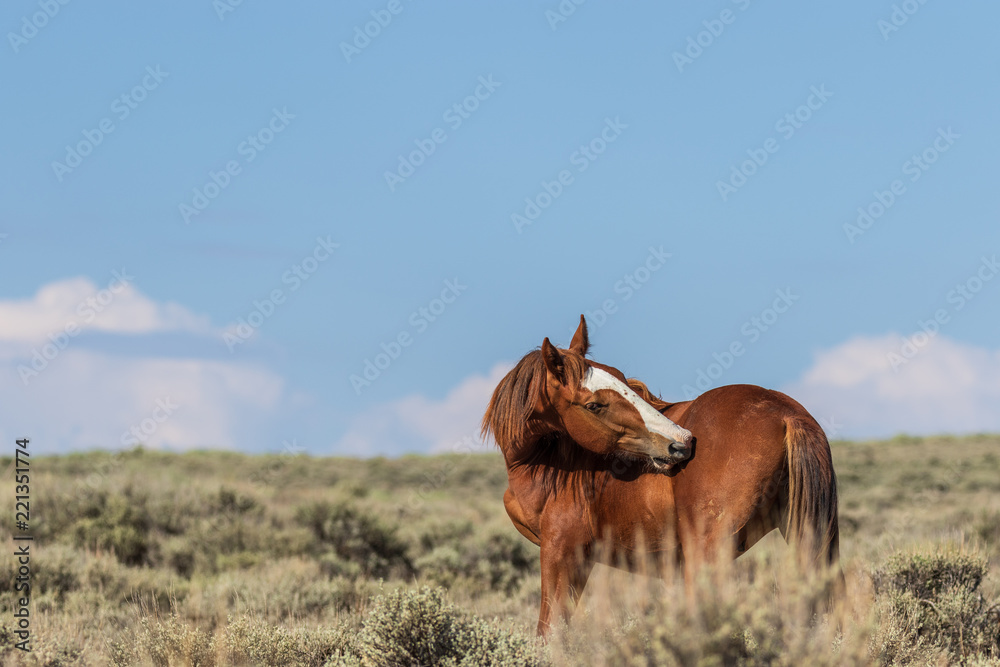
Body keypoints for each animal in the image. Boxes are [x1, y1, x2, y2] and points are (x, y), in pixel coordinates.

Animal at [481, 315, 840, 636]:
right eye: (595, 405)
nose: (682, 440)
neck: (548, 460)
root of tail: (786, 413)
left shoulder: (561, 552)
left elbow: (549, 631)